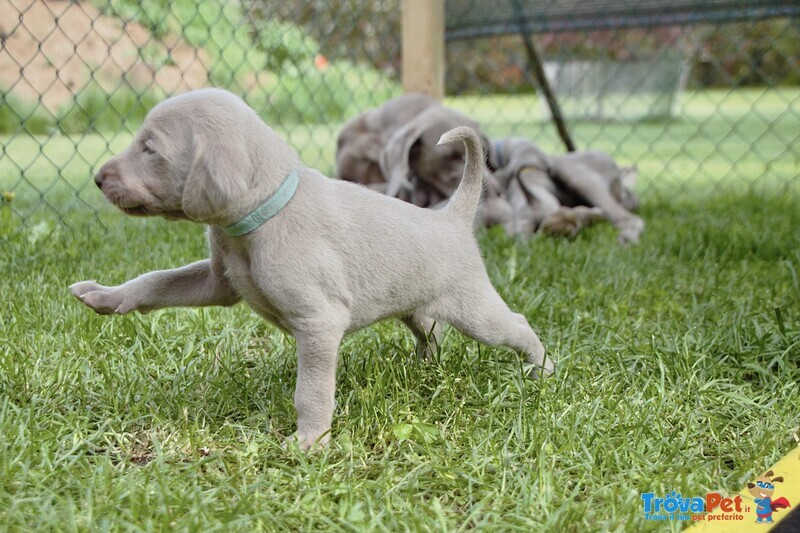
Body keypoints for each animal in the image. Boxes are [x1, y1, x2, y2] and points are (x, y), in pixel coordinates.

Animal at [72, 88, 552, 448]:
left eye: (150, 148)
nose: (96, 178)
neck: (265, 215)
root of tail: (452, 217)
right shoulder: (219, 282)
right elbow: (155, 281)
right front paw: (106, 297)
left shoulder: (319, 322)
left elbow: (312, 390)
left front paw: (310, 440)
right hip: (415, 307)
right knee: (431, 332)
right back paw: (423, 369)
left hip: (476, 311)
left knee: (516, 324)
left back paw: (541, 371)